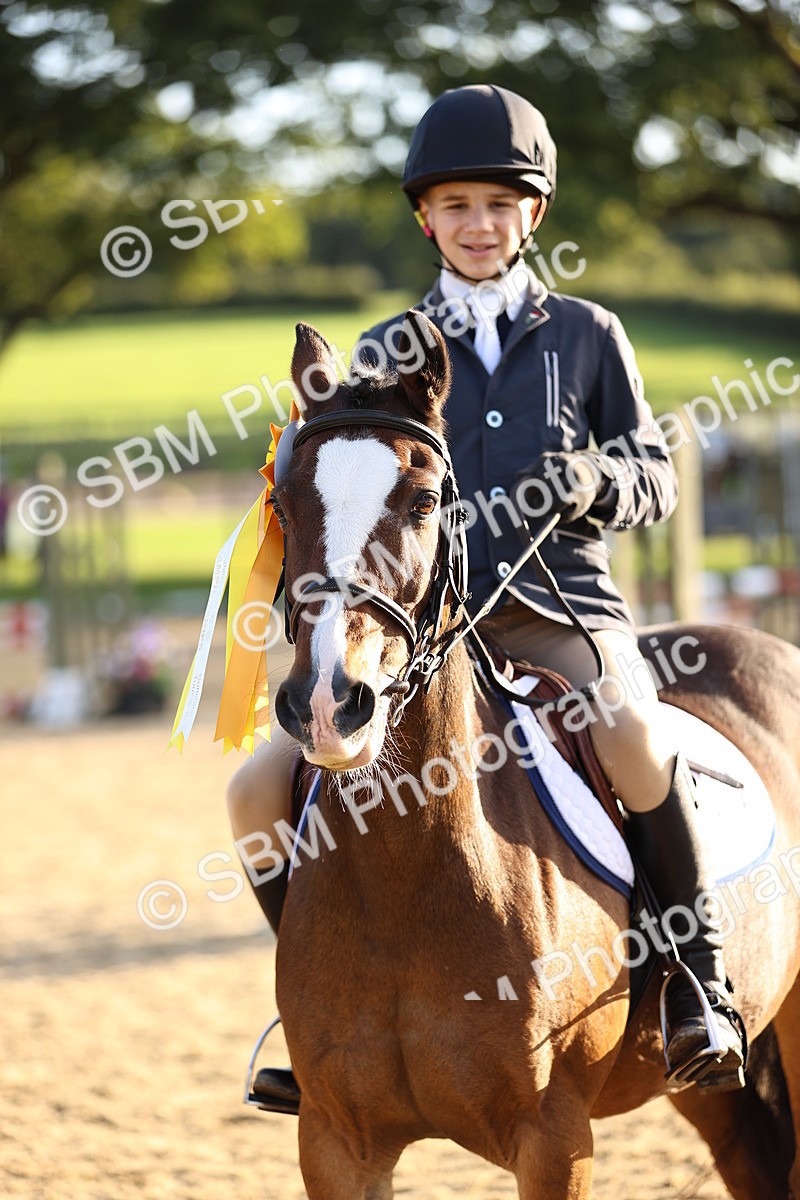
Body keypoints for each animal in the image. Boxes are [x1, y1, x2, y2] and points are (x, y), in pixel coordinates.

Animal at [268, 310, 800, 1199]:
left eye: (423, 499)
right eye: (283, 500)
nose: (327, 704)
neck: (405, 876)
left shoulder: (554, 1138)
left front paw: (574, 481)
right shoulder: (335, 1142)